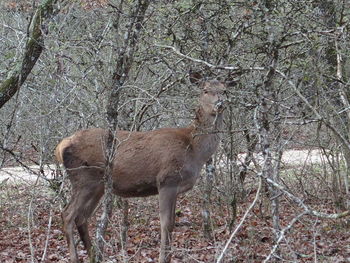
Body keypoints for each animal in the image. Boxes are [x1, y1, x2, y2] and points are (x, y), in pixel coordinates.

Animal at [55, 78, 227, 263]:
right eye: (205, 90)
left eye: (224, 90)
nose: (220, 103)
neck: (195, 151)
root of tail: (61, 145)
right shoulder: (167, 180)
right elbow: (166, 224)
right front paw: (162, 258)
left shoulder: (175, 186)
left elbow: (173, 224)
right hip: (84, 179)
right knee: (67, 214)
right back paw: (75, 257)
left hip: (97, 186)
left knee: (82, 217)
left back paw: (94, 256)